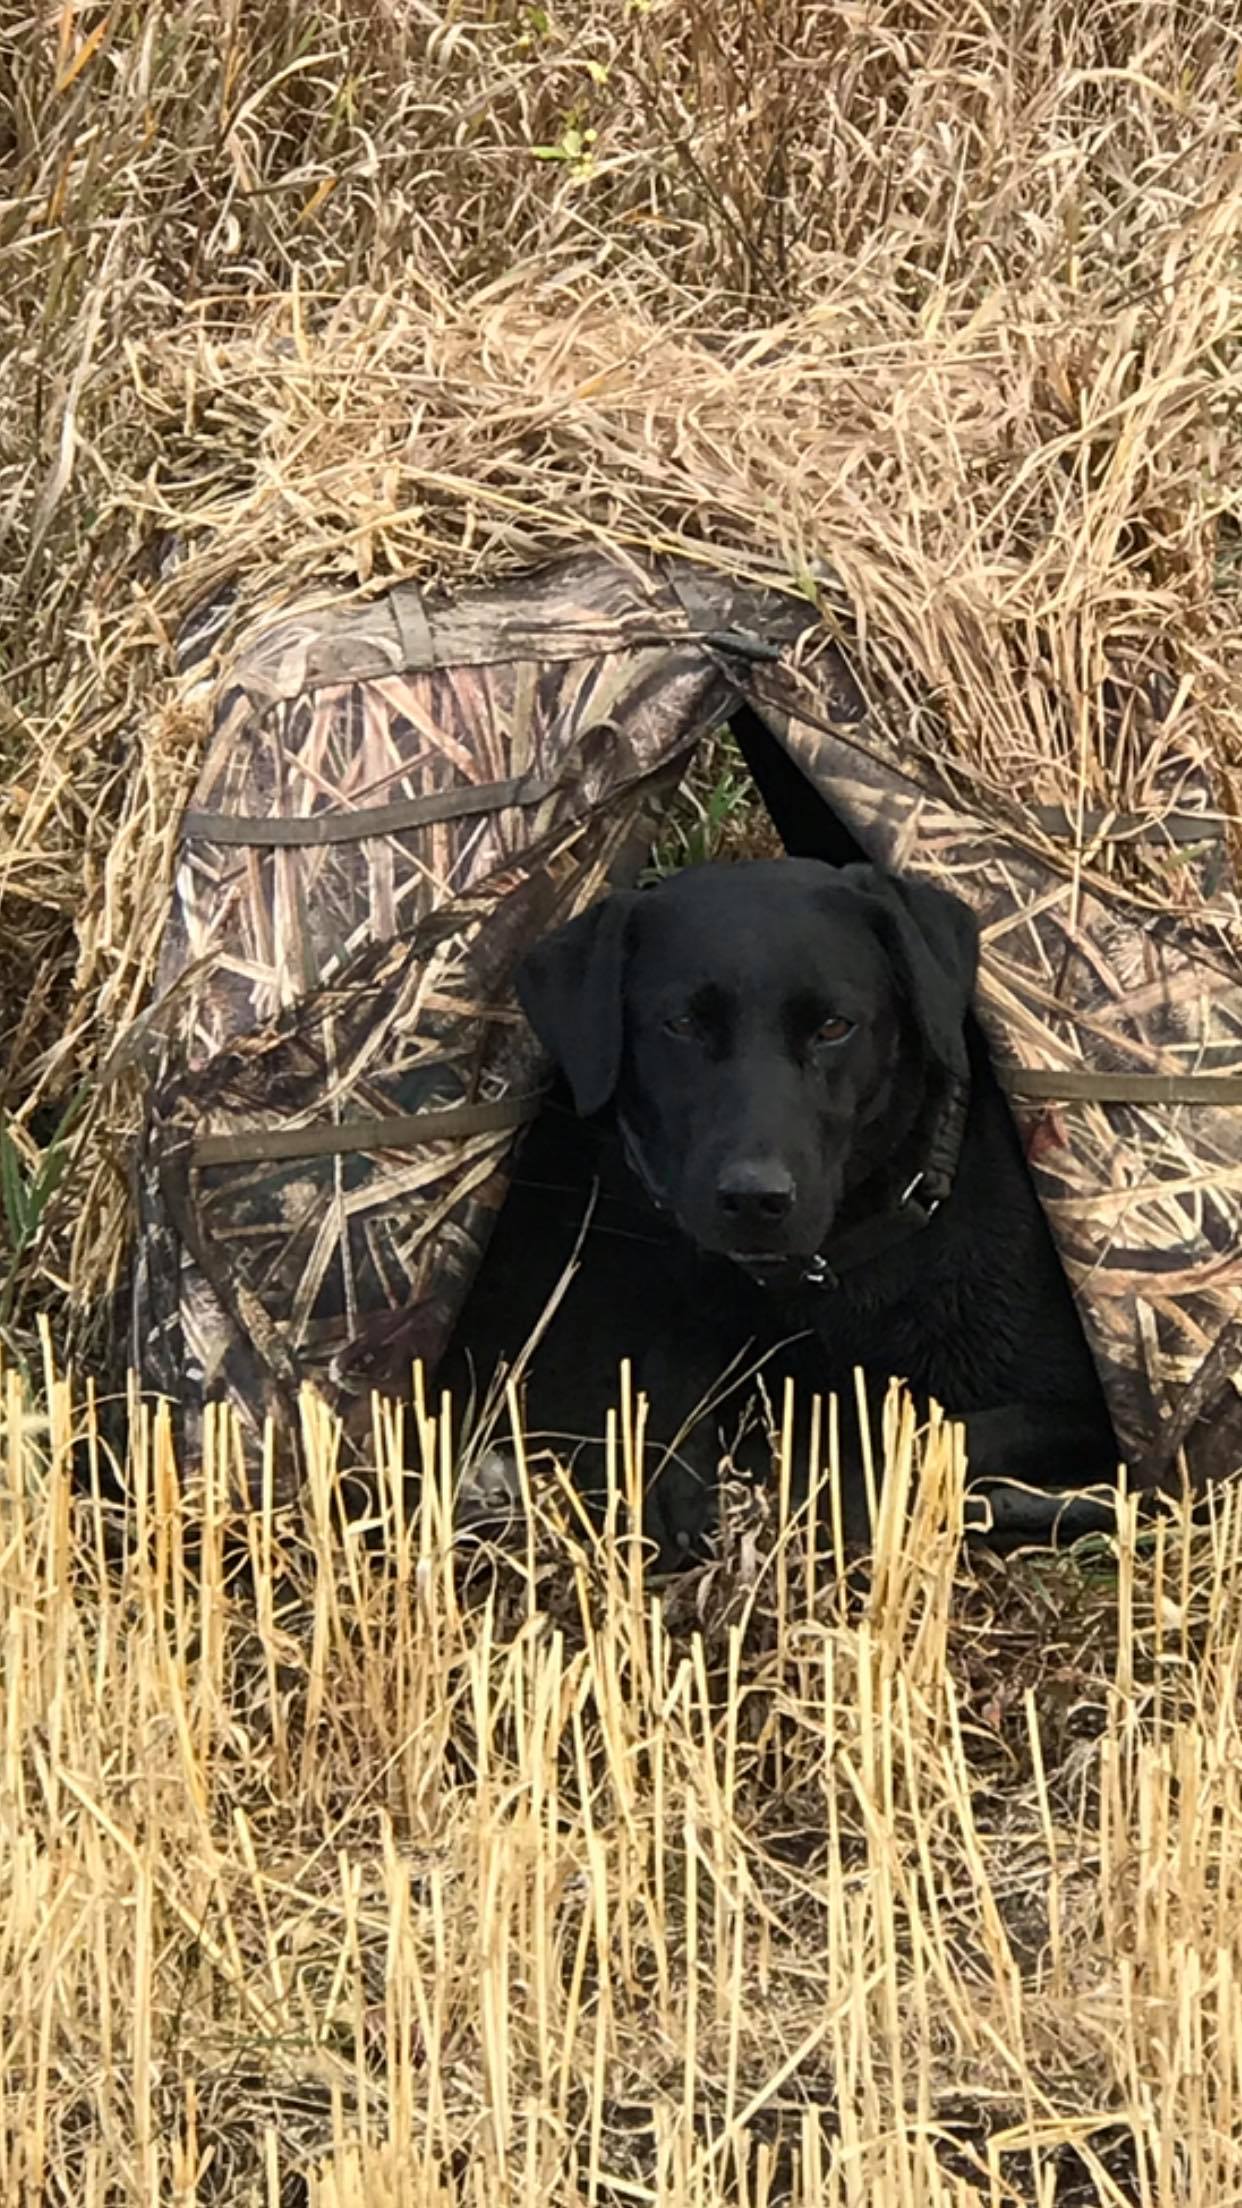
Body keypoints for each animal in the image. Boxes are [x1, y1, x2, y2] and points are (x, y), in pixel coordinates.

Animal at [439, 861, 1118, 1572]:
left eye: (834, 1026)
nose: (754, 1199)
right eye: (683, 1023)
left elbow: (921, 1445)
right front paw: (671, 1478)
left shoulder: (1082, 1411)